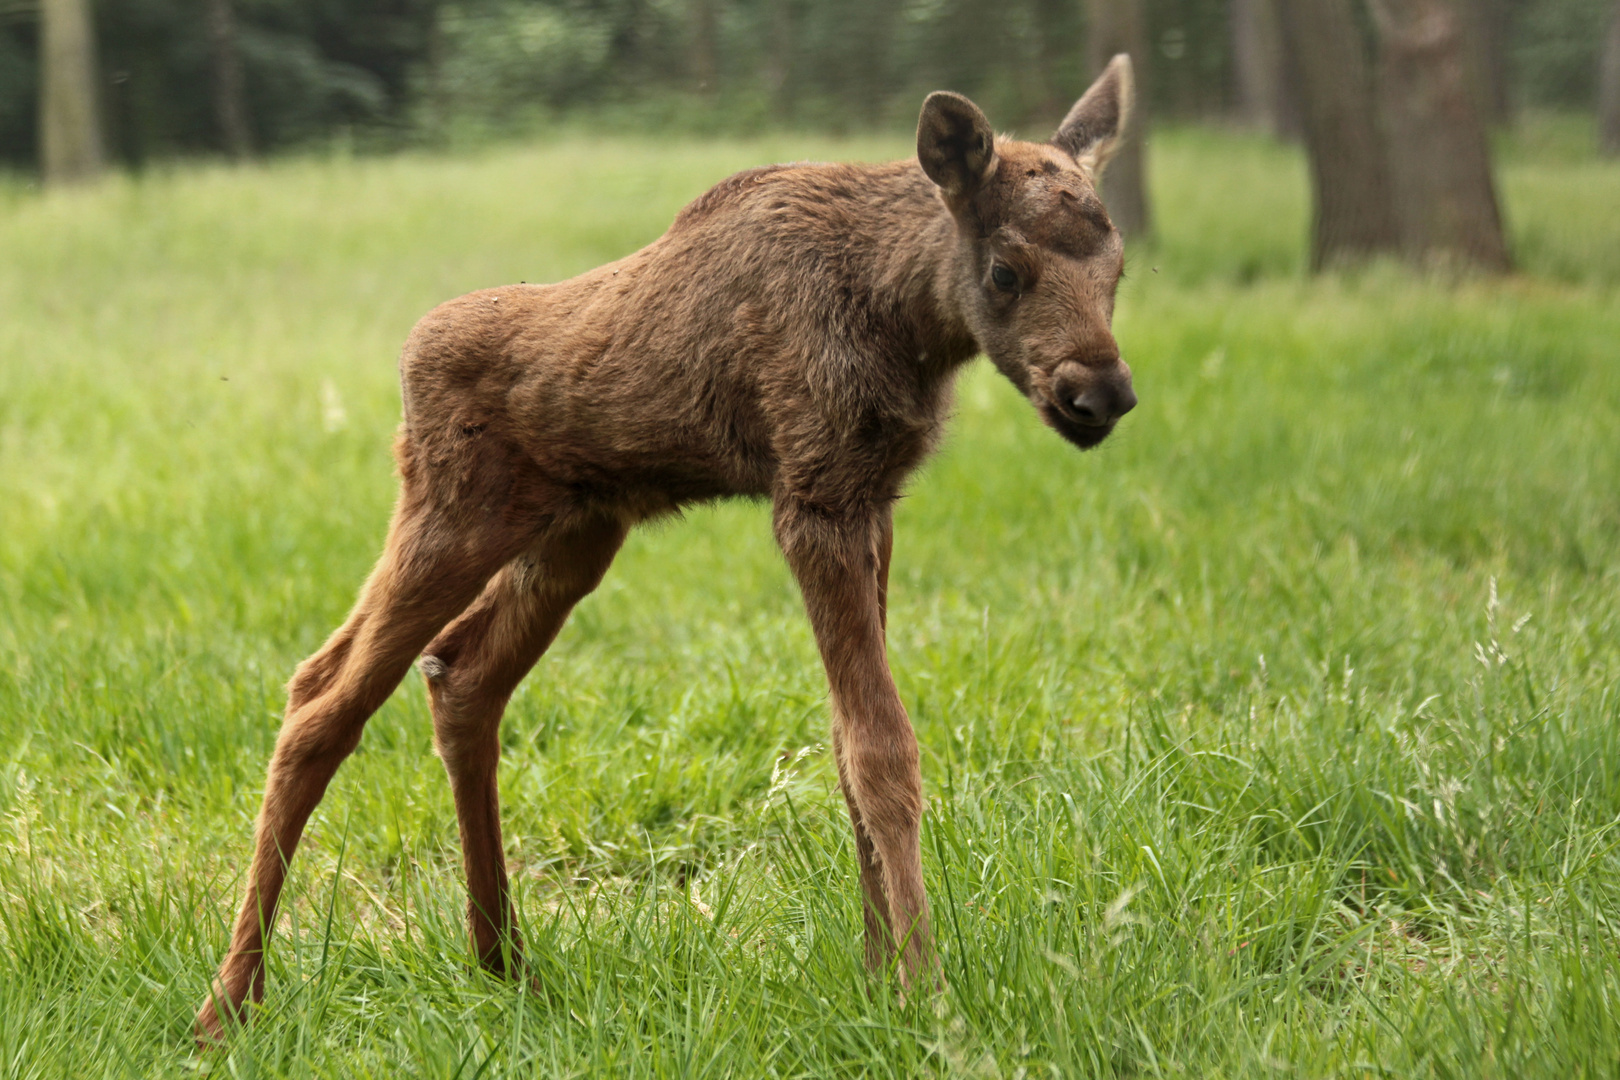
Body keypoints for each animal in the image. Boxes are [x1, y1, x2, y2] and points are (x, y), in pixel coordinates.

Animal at [196, 55, 1140, 1042]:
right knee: (322, 698)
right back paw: (229, 1002)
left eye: (1119, 267)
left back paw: (504, 966)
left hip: (572, 534)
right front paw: (927, 996)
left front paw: (879, 974)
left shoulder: (874, 499)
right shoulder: (813, 498)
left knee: (457, 672)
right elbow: (881, 751)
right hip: (453, 517)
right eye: (1004, 269)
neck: (906, 319)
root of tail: (407, 365)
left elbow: (844, 743)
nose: (1100, 393)